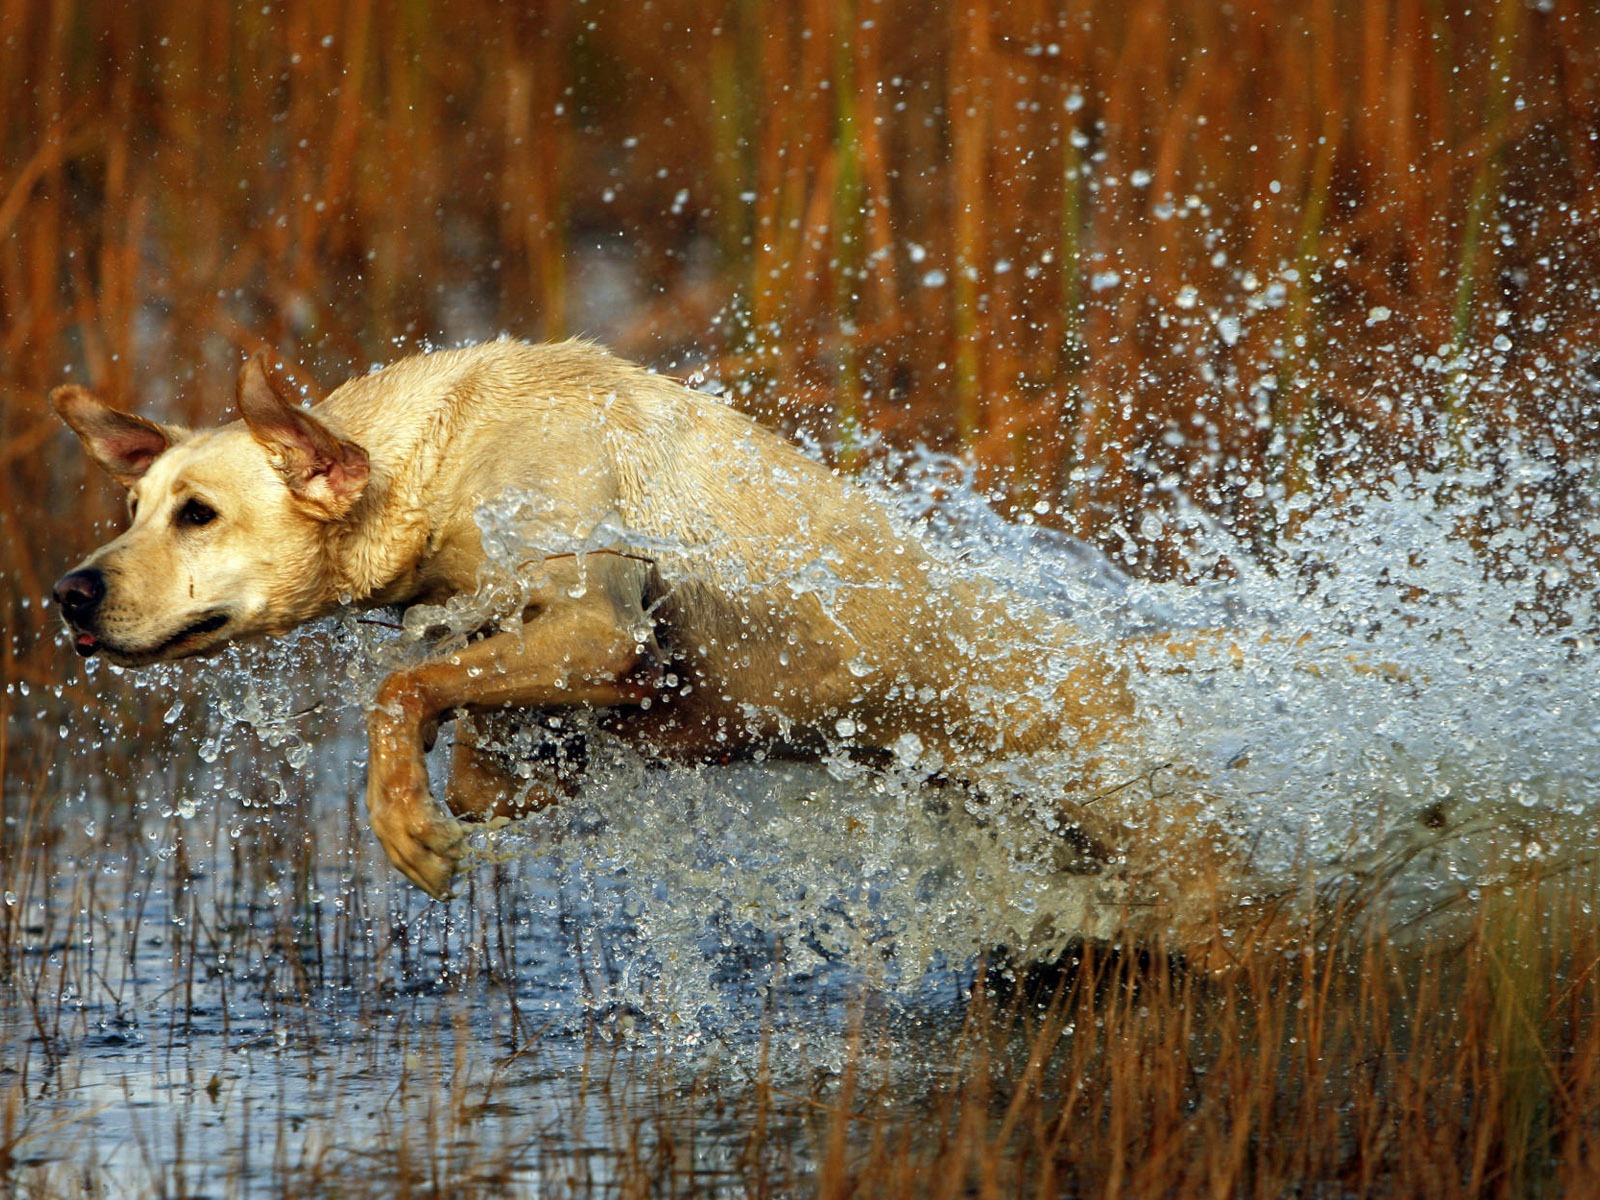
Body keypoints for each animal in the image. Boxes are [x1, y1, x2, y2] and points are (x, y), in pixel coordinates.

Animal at [53, 339, 1152, 902]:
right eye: (132, 509)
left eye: (199, 513)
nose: (69, 592)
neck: (442, 459)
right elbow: (475, 742)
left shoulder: (598, 618)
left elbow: (399, 688)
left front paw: (403, 820)